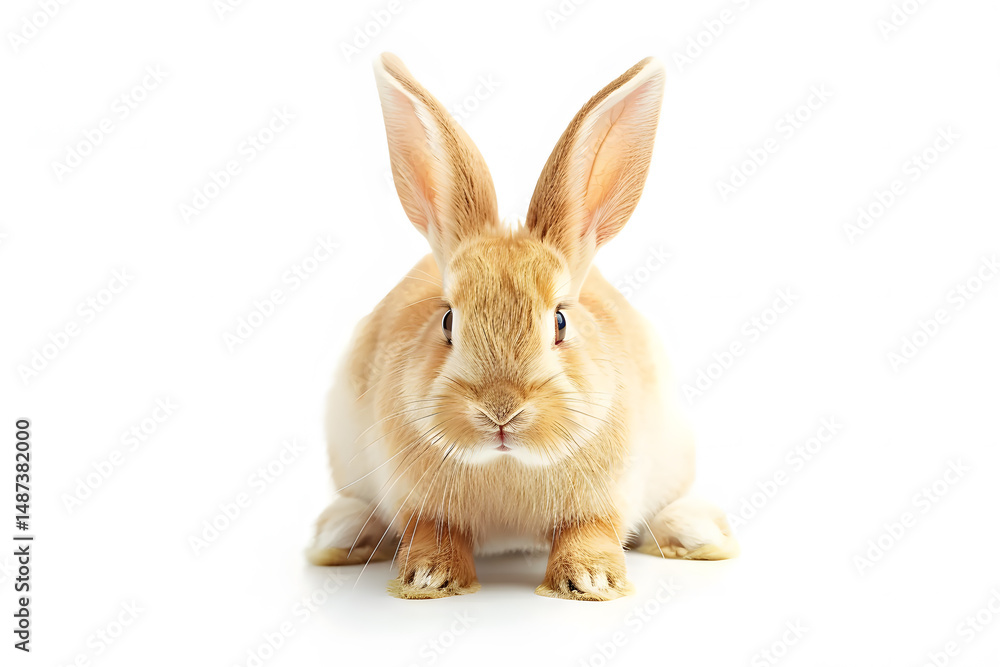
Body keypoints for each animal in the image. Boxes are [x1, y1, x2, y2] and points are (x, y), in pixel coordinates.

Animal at [305, 53, 739, 601]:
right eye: (448, 320)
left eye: (560, 321)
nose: (500, 410)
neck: (507, 464)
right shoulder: (419, 502)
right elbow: (432, 532)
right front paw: (427, 578)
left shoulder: (607, 498)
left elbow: (591, 532)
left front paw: (590, 581)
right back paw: (341, 536)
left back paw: (696, 533)